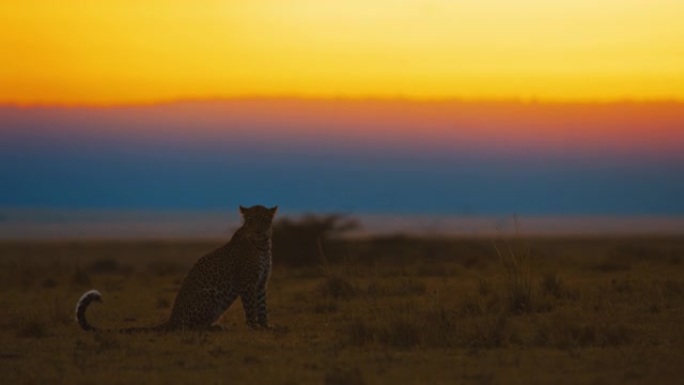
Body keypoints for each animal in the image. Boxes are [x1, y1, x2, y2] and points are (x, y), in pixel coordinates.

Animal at [75, 202, 278, 332]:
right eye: (251, 219)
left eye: (264, 219)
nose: (258, 231)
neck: (263, 244)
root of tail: (172, 319)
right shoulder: (248, 284)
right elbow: (251, 308)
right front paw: (253, 328)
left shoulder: (261, 284)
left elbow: (262, 307)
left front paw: (265, 327)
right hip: (211, 295)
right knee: (188, 327)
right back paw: (216, 328)